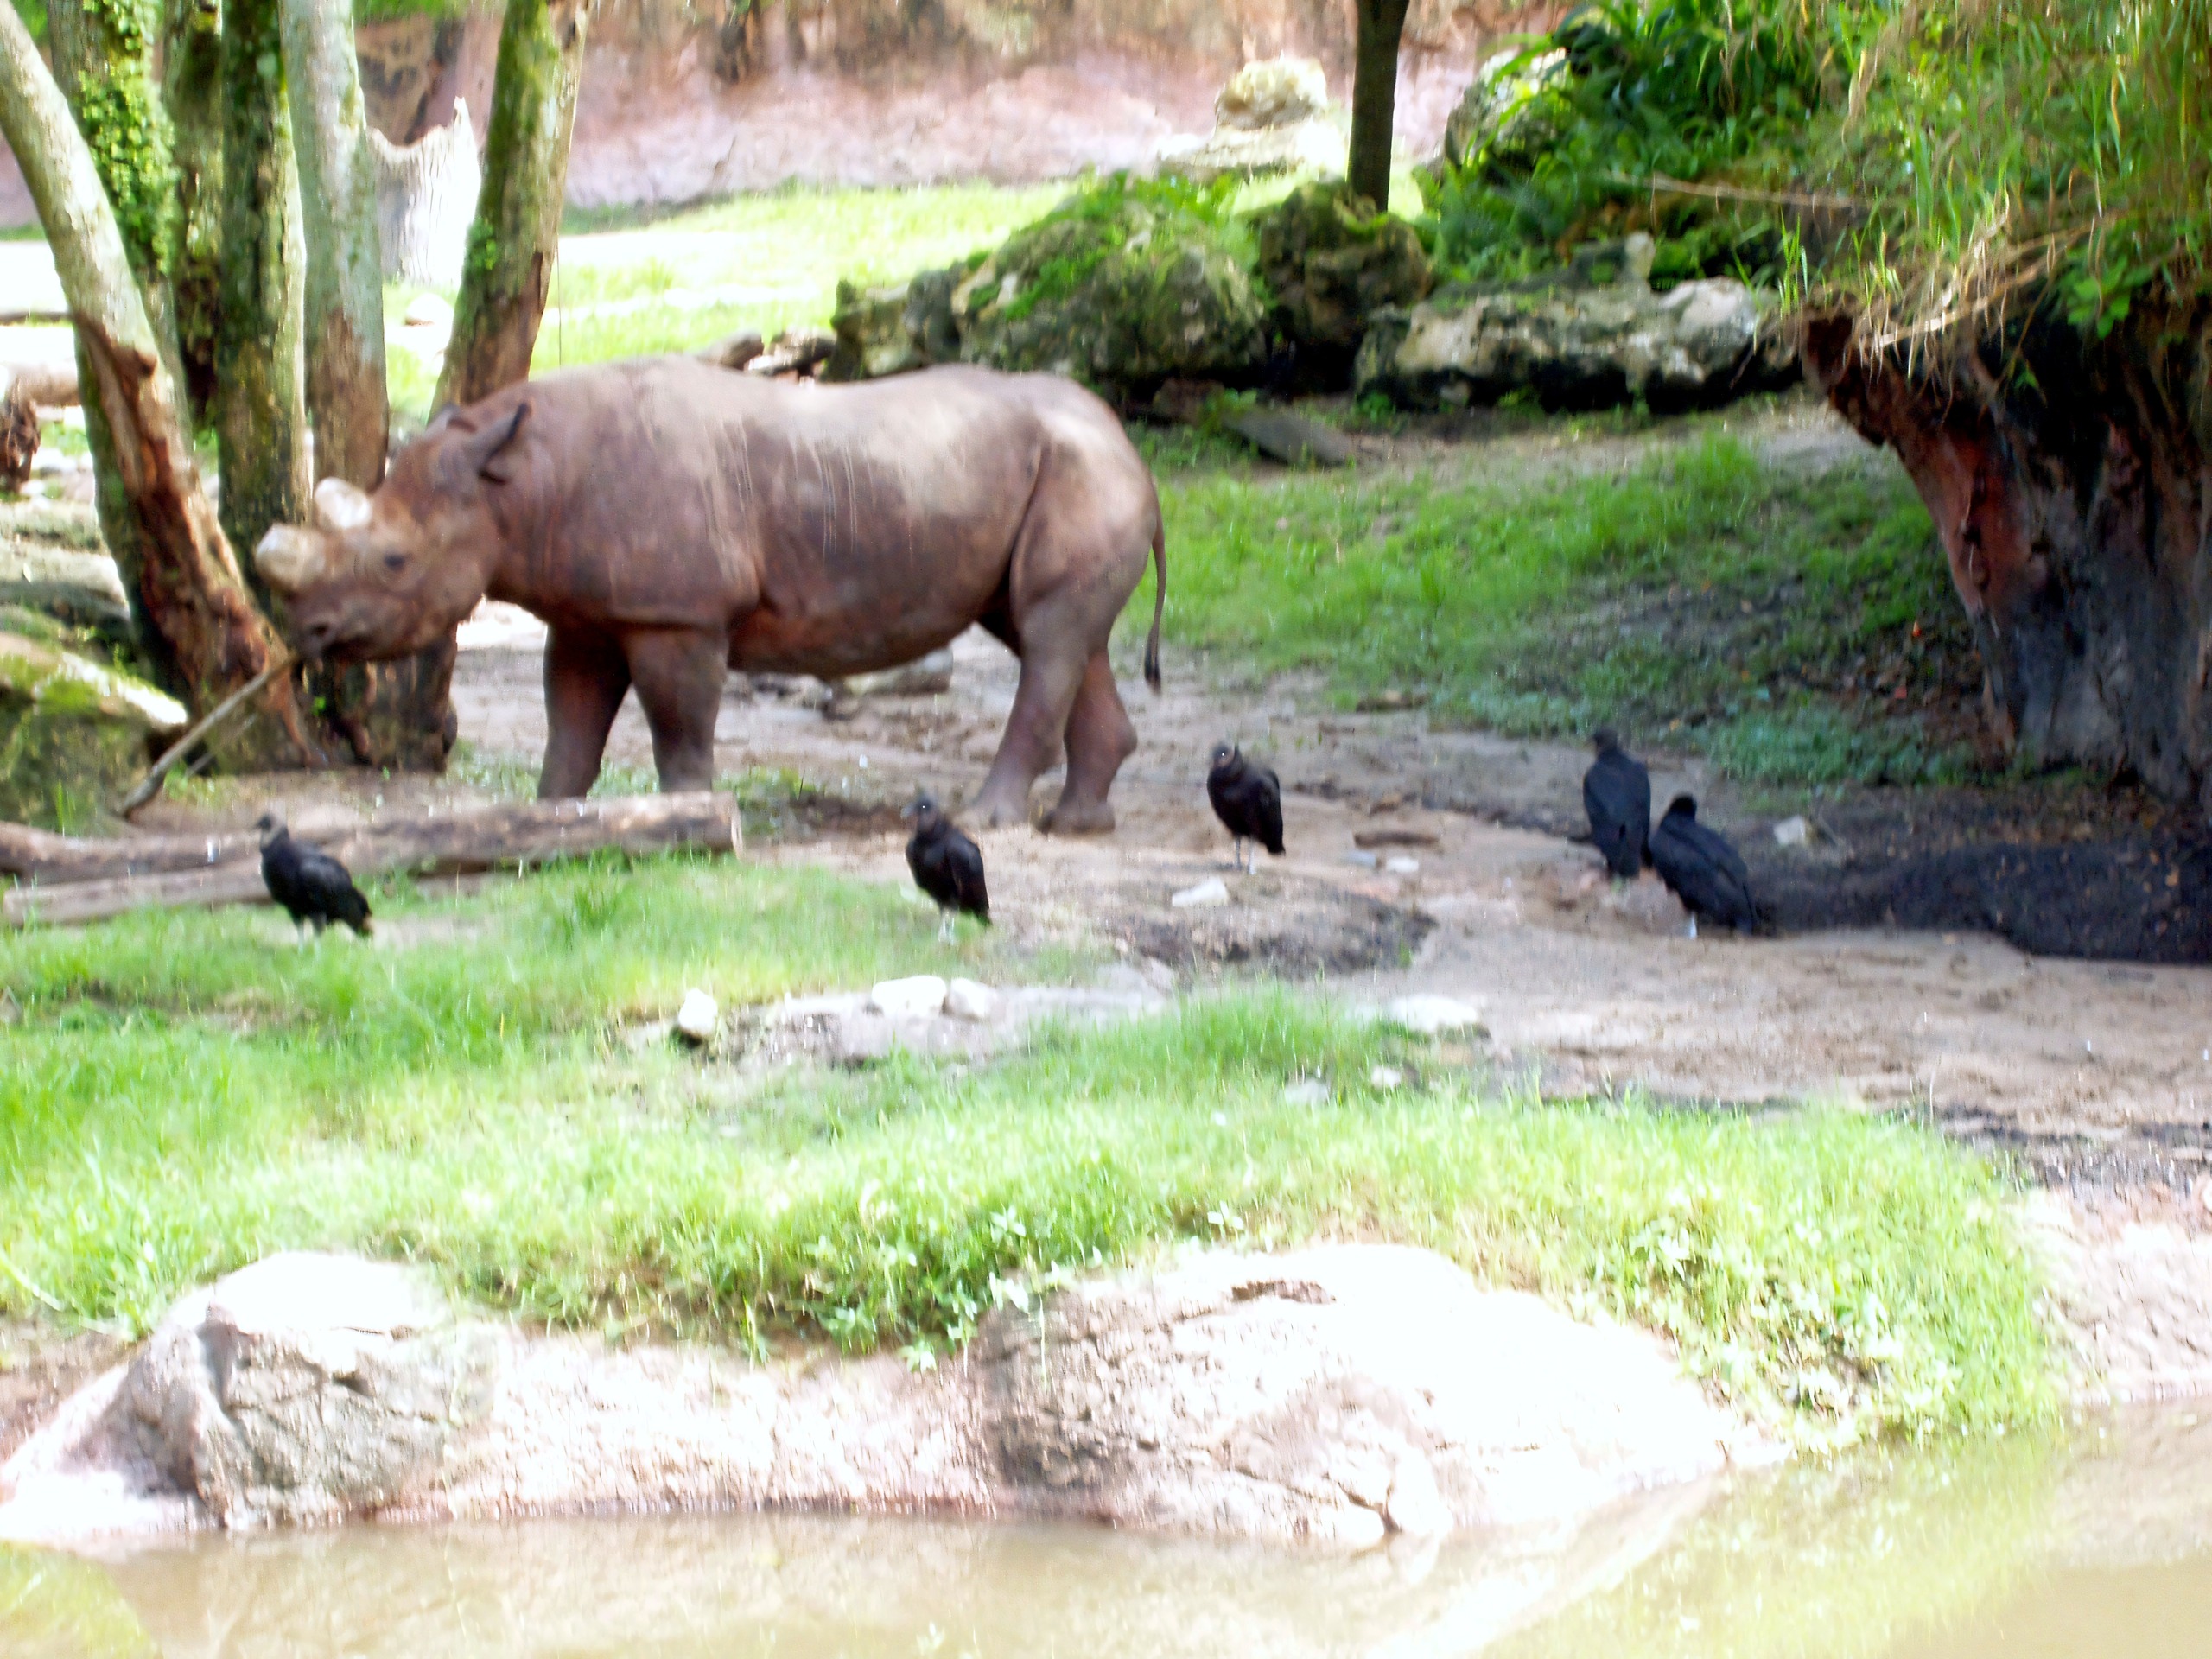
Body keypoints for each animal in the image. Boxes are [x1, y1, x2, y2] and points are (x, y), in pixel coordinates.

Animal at [256, 359, 1165, 833]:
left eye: (394, 562)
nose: (309, 629)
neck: (516, 483)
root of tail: (1130, 447)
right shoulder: (590, 612)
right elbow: (571, 722)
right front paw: (554, 819)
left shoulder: (678, 611)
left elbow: (677, 720)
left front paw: (688, 814)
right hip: (1061, 470)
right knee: (1053, 633)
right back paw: (1078, 825)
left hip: (1083, 473)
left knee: (1047, 635)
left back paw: (985, 822)